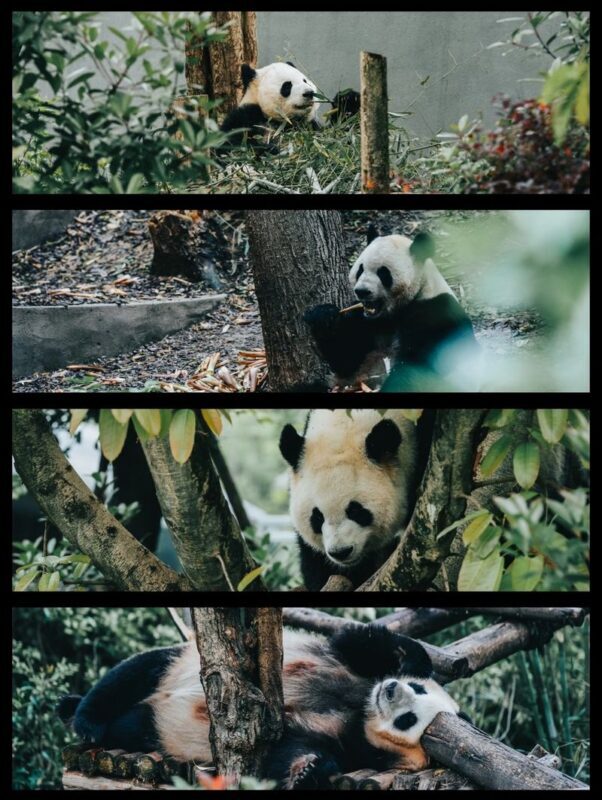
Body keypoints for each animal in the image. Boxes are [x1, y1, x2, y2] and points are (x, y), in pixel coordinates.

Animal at [57, 624, 463, 790]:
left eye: (407, 720)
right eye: (414, 691)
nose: (391, 690)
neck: (361, 707)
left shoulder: (354, 745)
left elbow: (287, 751)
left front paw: (307, 771)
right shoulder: (347, 664)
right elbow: (359, 641)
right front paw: (412, 660)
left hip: (154, 726)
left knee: (130, 724)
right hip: (177, 665)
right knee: (133, 673)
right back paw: (80, 715)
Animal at [304, 225, 478, 392]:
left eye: (383, 273)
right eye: (360, 269)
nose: (362, 291)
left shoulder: (434, 313)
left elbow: (416, 369)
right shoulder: (365, 319)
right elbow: (347, 358)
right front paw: (324, 317)